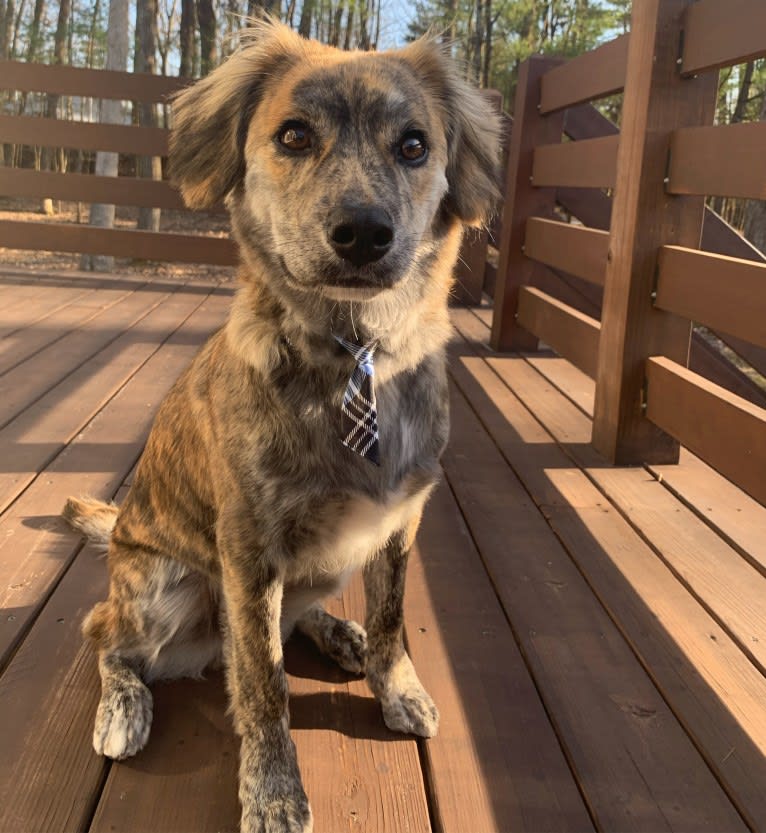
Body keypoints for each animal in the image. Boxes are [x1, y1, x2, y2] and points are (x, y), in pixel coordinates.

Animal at [63, 17, 500, 832]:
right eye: (294, 136)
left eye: (415, 145)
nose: (362, 232)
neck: (358, 358)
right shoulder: (250, 549)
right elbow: (263, 682)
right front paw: (272, 793)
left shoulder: (400, 523)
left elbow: (391, 617)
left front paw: (394, 683)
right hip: (162, 585)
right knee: (107, 635)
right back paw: (124, 707)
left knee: (298, 614)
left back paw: (336, 630)